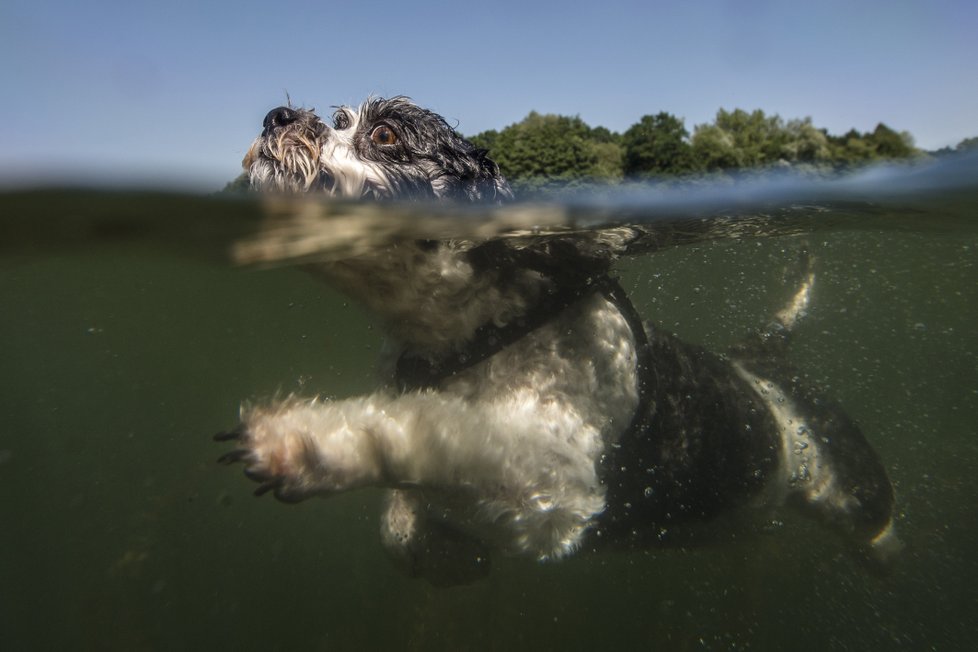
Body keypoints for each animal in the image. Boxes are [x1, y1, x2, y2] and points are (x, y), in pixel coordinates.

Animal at [215, 95, 900, 584]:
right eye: (337, 119)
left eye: (384, 136)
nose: (279, 116)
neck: (490, 328)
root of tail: (762, 359)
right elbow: (400, 524)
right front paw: (440, 550)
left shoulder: (551, 488)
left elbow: (427, 428)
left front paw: (298, 441)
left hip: (851, 483)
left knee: (874, 524)